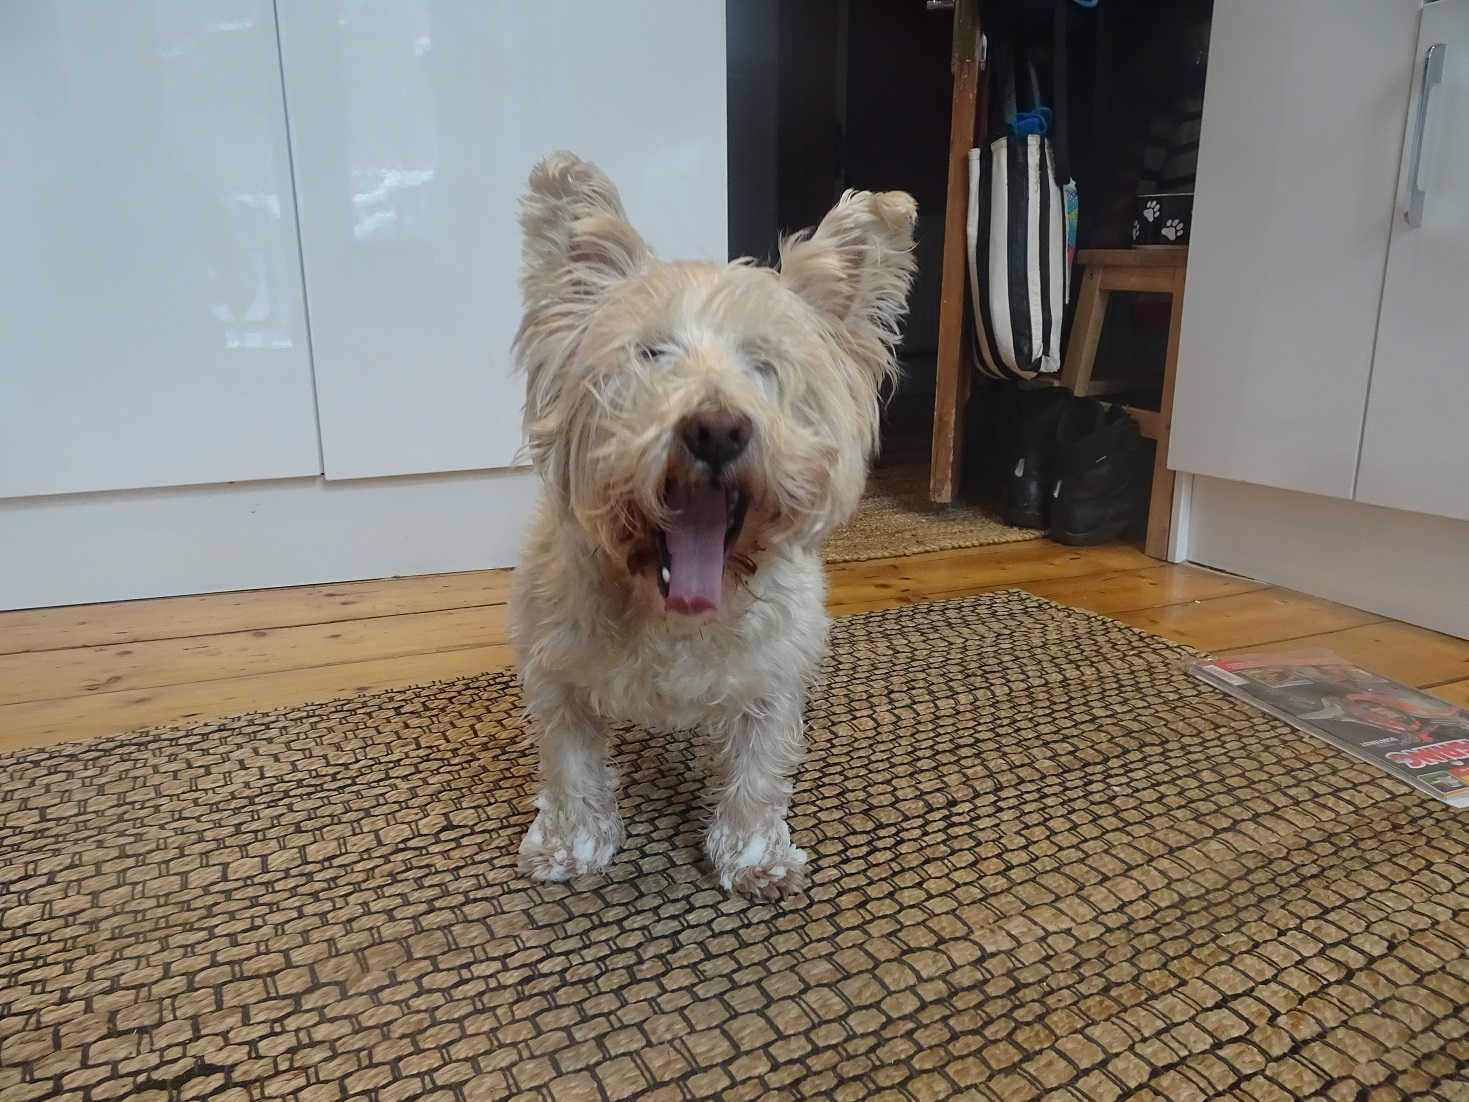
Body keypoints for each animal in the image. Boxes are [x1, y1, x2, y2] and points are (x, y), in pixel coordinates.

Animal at [511, 153, 910, 899]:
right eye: (648, 354)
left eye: (766, 365)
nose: (717, 428)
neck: (673, 613)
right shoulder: (557, 673)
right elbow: (571, 764)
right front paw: (570, 845)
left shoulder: (773, 679)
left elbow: (757, 771)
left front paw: (754, 858)